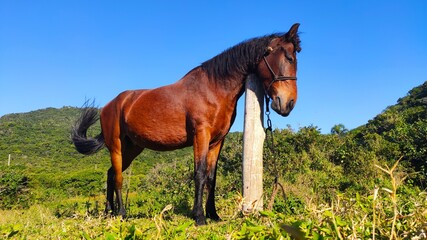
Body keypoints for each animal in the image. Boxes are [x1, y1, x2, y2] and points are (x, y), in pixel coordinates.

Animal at [72, 22, 300, 225]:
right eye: (288, 57)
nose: (288, 103)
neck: (213, 88)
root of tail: (110, 105)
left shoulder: (217, 141)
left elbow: (211, 177)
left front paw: (213, 215)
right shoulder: (201, 135)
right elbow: (199, 174)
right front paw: (199, 217)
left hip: (133, 148)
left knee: (110, 174)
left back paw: (108, 212)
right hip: (117, 146)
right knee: (118, 177)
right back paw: (121, 213)